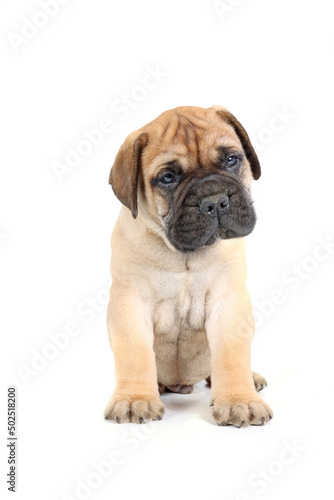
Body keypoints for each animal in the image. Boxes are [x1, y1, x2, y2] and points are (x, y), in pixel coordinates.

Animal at [104, 104, 274, 426]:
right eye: (168, 178)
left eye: (231, 160)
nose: (215, 200)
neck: (184, 255)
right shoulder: (130, 301)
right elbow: (134, 352)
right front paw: (134, 399)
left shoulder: (228, 301)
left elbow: (231, 355)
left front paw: (239, 400)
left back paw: (251, 378)